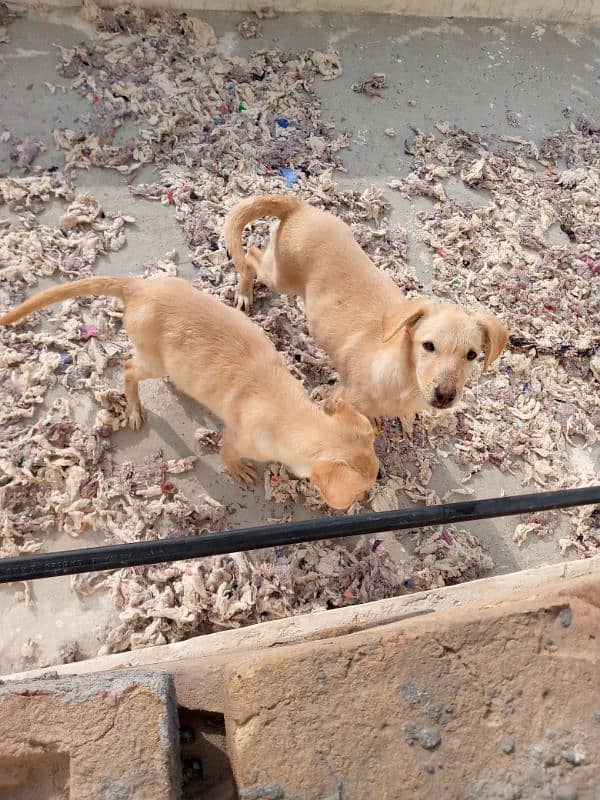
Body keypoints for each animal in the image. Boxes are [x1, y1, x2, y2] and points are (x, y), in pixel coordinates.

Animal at [0, 278, 378, 510]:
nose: (369, 496)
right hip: (150, 358)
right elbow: (228, 452)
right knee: (129, 369)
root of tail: (139, 286)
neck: (293, 414)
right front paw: (238, 470)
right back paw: (134, 408)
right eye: (363, 488)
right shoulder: (238, 438)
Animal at [223, 194, 508, 432]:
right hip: (280, 277)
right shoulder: (339, 400)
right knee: (250, 255)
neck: (405, 382)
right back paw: (244, 291)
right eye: (428, 346)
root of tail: (299, 207)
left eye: (472, 355)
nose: (445, 395)